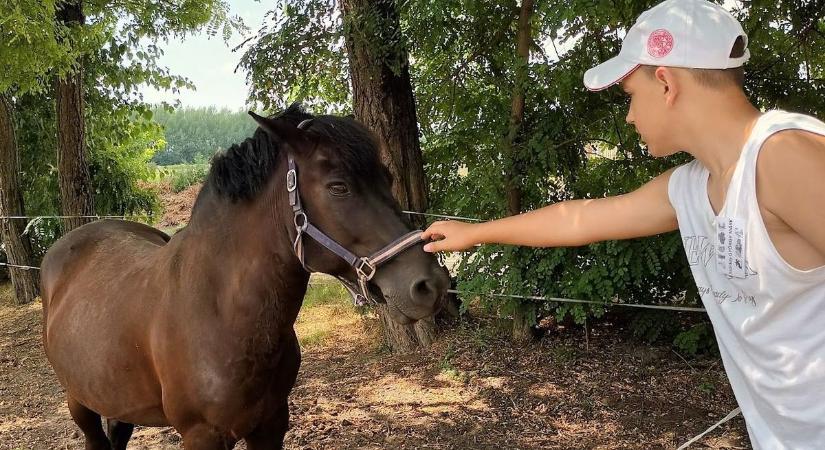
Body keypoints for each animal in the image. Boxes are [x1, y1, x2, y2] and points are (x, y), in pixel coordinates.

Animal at [39, 103, 448, 448]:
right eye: (338, 187)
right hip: (79, 403)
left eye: (387, 177)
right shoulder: (202, 436)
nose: (430, 284)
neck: (221, 314)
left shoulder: (271, 424)